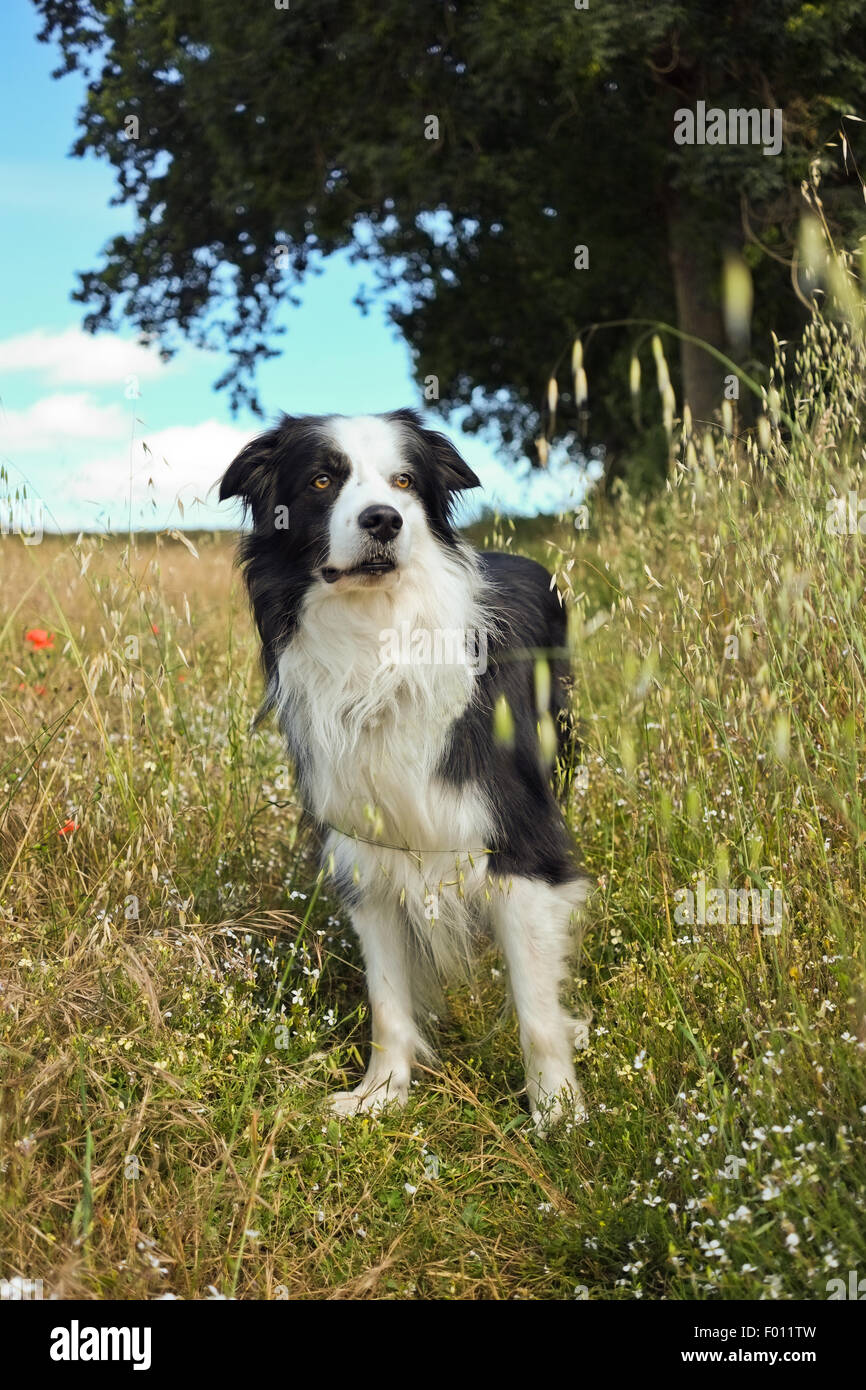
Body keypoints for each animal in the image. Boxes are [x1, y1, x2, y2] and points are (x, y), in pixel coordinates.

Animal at [219, 405, 592, 1123]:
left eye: (404, 481)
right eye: (321, 480)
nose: (384, 520)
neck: (378, 648)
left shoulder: (521, 842)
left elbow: (536, 1006)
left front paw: (559, 1114)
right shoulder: (365, 852)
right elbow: (386, 998)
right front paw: (381, 1095)